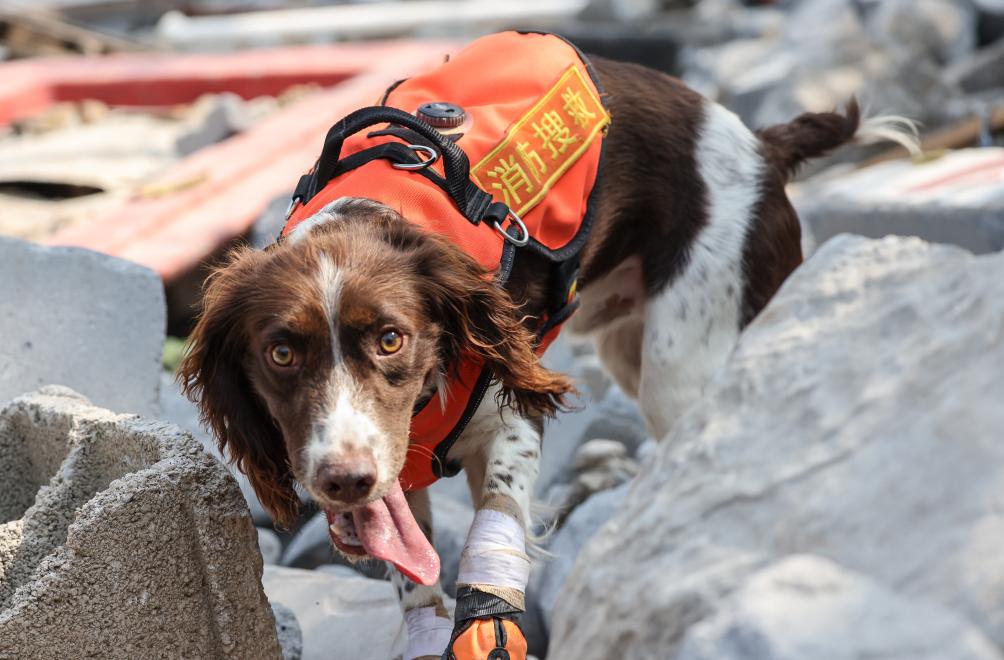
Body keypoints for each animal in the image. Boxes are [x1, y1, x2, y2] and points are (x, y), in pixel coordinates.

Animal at [176, 34, 915, 658]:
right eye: (280, 354)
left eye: (391, 339)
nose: (343, 479)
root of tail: (761, 147)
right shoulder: (397, 468)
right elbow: (415, 575)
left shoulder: (513, 406)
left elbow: (493, 526)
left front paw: (489, 625)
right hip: (629, 348)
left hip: (683, 367)